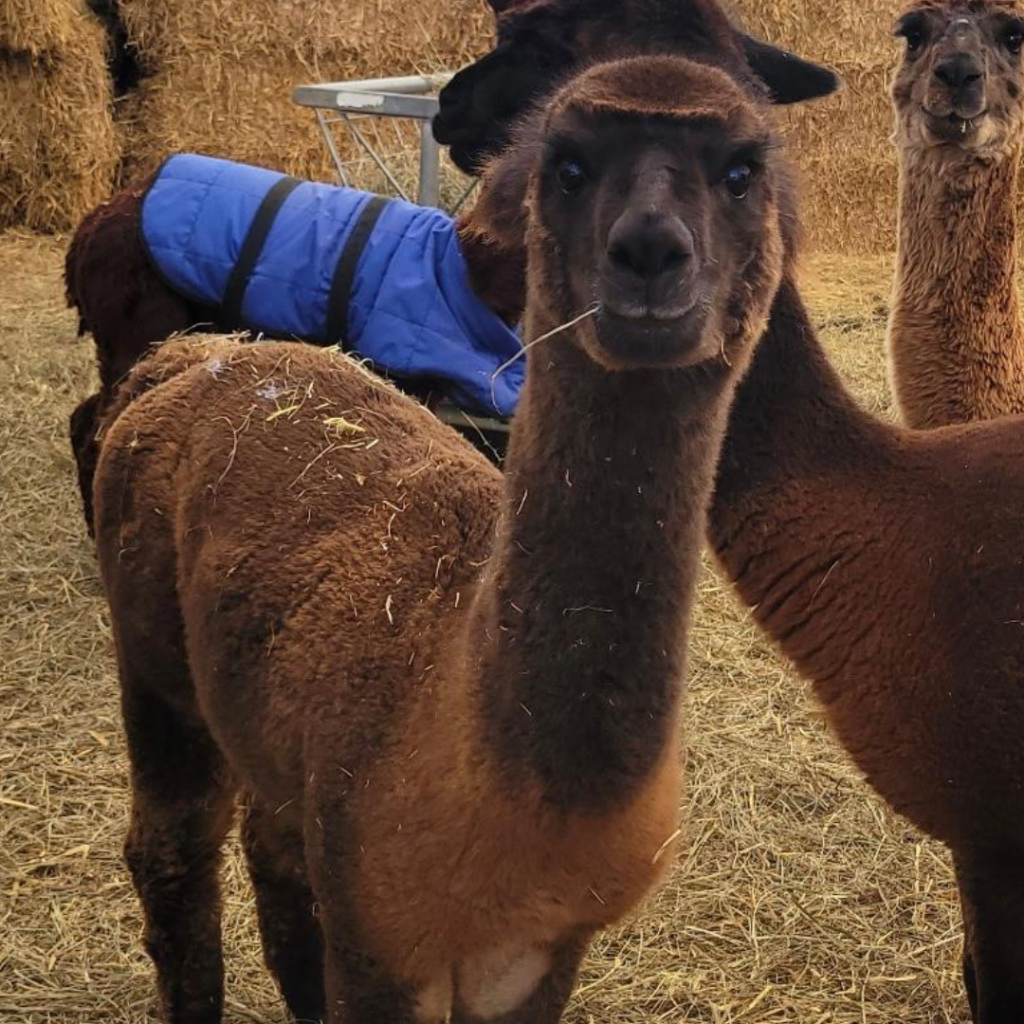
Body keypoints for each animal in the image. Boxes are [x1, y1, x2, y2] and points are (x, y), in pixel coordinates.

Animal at [92, 54, 796, 1024]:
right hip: (156, 660)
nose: (651, 250)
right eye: (567, 166)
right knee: (172, 848)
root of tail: (189, 361)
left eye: (741, 170)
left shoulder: (538, 949)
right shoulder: (385, 942)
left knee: (274, 857)